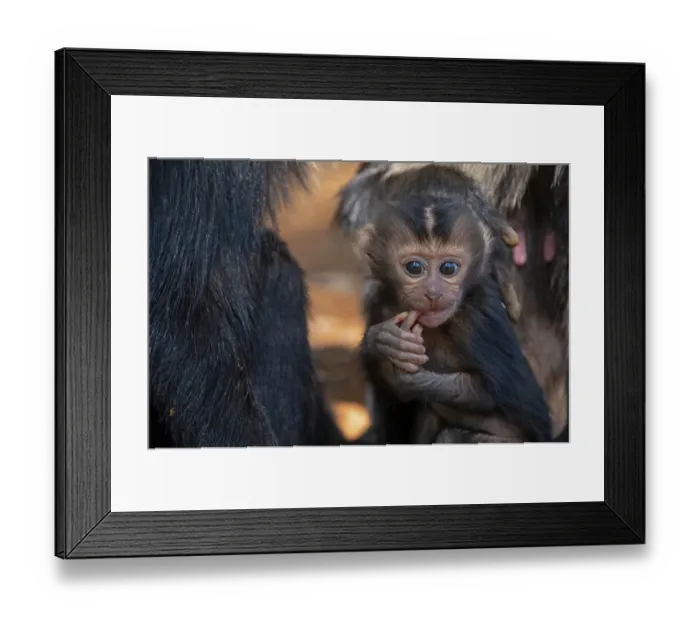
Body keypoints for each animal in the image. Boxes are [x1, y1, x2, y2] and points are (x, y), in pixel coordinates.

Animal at [335, 161, 570, 442]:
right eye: (414, 268)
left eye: (448, 268)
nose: (433, 293)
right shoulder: (383, 304)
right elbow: (365, 190)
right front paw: (383, 342)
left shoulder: (476, 321)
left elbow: (508, 396)